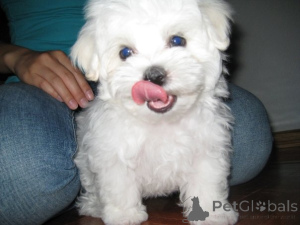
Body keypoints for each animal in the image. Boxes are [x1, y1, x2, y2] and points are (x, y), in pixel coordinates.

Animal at [71, 0, 239, 225]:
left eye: (177, 40)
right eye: (125, 53)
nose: (154, 75)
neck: (162, 122)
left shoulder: (207, 149)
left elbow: (206, 182)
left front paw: (213, 214)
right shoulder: (113, 154)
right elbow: (119, 186)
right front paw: (125, 215)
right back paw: (93, 206)